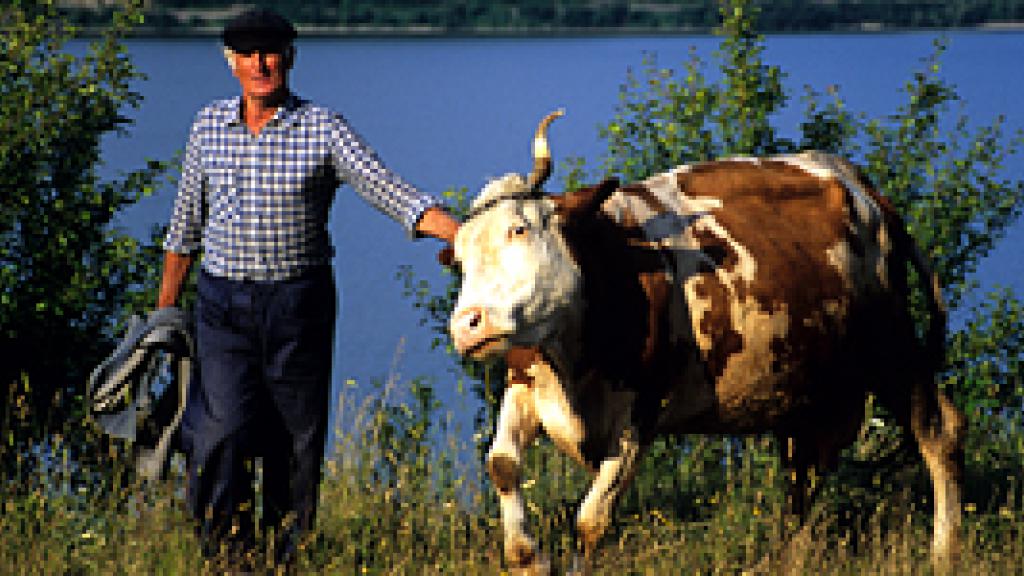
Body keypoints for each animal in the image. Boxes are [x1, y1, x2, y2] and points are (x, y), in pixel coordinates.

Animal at [450, 109, 966, 569]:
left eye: (519, 228)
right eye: (458, 257)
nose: (465, 324)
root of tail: (858, 184)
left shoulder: (641, 412)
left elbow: (591, 518)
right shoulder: (525, 382)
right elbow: (502, 465)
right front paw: (529, 558)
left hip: (890, 341)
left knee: (939, 430)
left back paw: (945, 552)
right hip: (810, 380)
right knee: (805, 464)